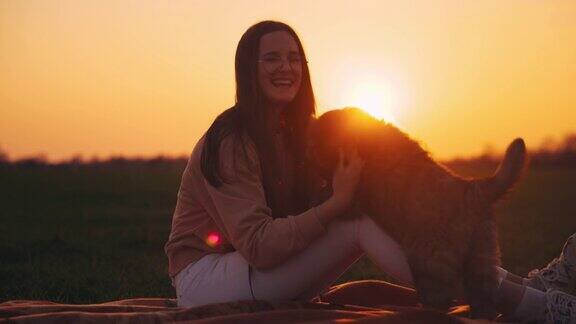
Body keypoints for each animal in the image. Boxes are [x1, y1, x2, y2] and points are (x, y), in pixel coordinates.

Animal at [308, 107, 528, 318]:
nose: (311, 159)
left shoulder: (352, 198)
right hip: (481, 256)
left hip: (429, 263)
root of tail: (471, 188)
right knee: (484, 299)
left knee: (440, 300)